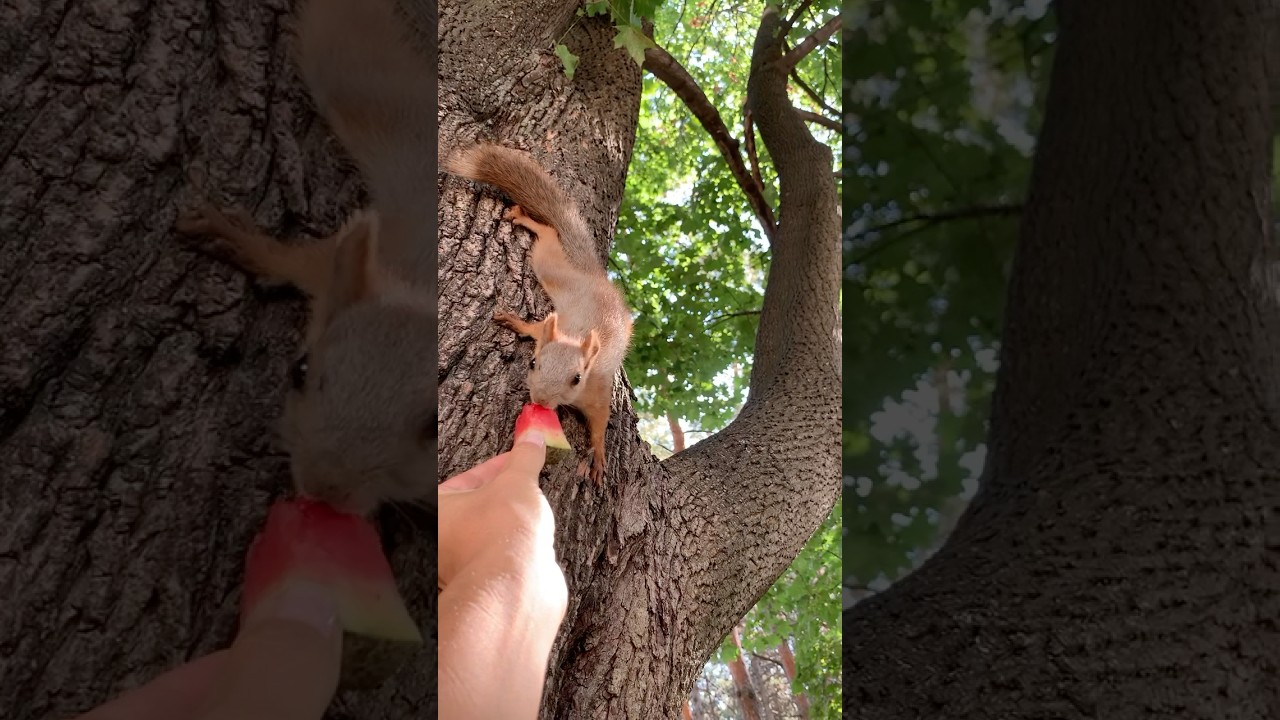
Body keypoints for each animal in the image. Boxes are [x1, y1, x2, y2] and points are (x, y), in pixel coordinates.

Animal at [175, 0, 437, 516]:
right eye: (298, 371)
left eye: (433, 430)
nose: (322, 487)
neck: (419, 288)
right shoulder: (339, 262)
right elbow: (294, 261)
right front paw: (234, 238)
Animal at [443, 144, 634, 486]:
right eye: (533, 363)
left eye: (576, 378)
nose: (540, 400)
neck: (573, 337)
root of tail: (595, 276)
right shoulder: (546, 332)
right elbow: (533, 330)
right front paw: (514, 321)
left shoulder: (597, 391)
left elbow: (600, 424)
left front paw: (598, 456)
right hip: (552, 270)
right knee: (547, 233)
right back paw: (523, 218)